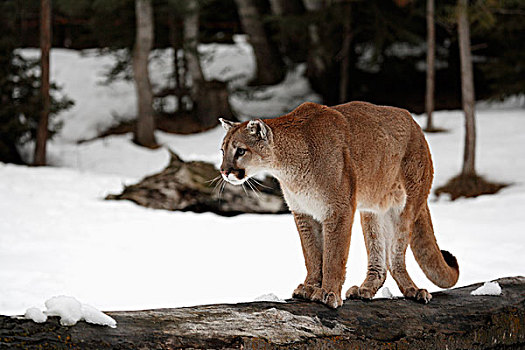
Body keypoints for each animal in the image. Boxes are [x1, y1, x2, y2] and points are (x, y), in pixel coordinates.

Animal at [219, 102, 456, 308]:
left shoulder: (339, 209)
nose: (224, 171)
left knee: (396, 256)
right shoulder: (303, 212)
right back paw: (365, 289)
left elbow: (334, 255)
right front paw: (309, 287)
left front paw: (328, 293)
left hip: (407, 206)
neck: (287, 166)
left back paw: (413, 291)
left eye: (240, 151)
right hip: (371, 211)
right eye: (222, 150)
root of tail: (416, 125)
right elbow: (312, 255)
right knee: (380, 260)